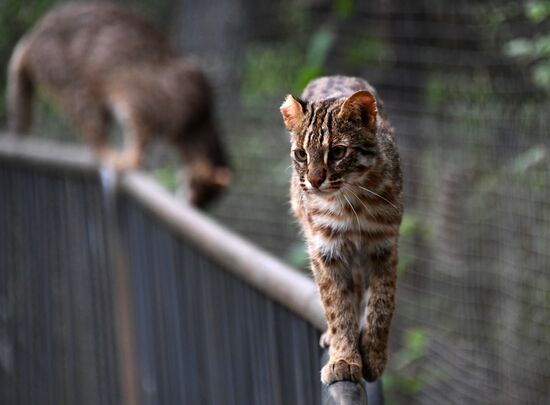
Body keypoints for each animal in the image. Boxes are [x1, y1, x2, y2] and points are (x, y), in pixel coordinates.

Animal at [7, 2, 231, 205]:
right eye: (196, 189)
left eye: (204, 201)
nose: (191, 205)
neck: (195, 123)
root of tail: (32, 37)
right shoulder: (138, 99)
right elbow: (140, 136)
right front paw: (132, 158)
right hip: (75, 86)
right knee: (92, 130)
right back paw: (110, 154)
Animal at [282, 75, 404, 382]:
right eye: (301, 154)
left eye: (337, 152)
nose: (314, 181)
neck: (352, 201)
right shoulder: (325, 249)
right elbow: (337, 305)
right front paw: (344, 358)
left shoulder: (384, 245)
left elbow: (381, 305)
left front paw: (373, 357)